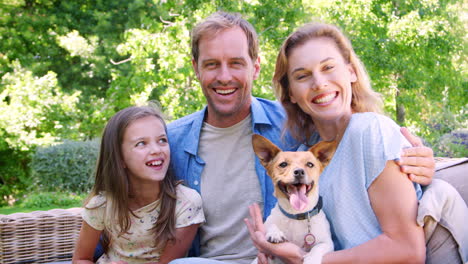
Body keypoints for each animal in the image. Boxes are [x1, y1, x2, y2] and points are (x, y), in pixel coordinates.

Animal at [252, 134, 336, 264]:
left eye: (310, 164)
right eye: (283, 164)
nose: (299, 172)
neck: (296, 213)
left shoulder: (327, 243)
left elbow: (319, 247)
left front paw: (312, 259)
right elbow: (270, 224)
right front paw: (275, 233)